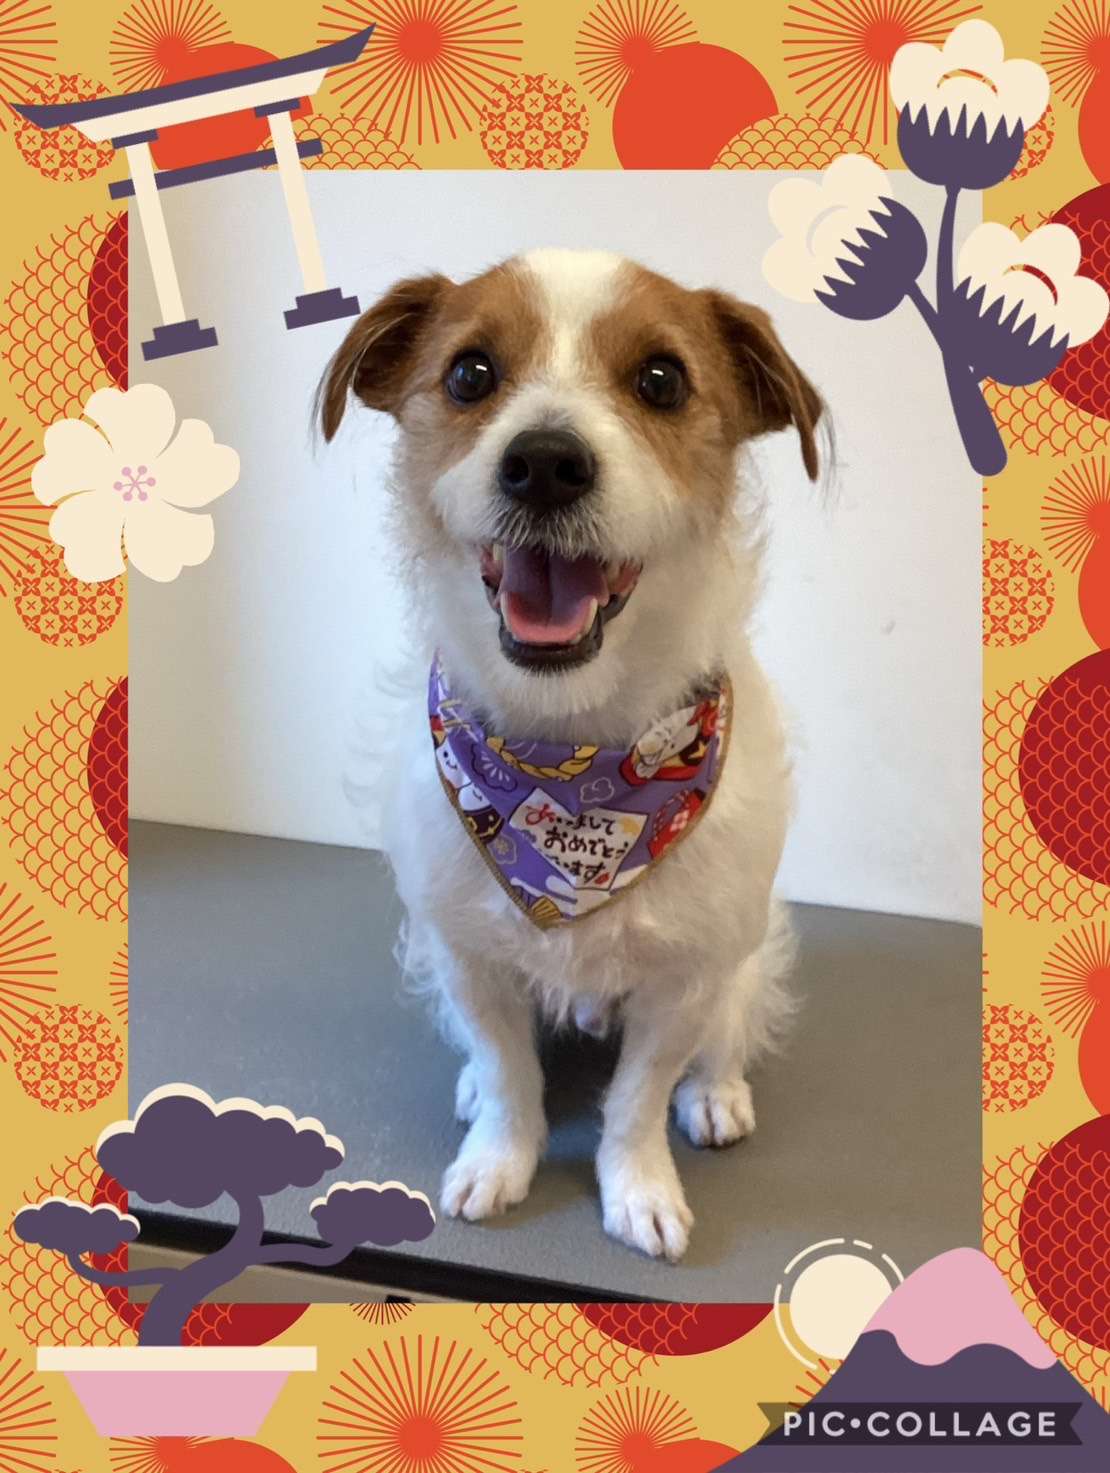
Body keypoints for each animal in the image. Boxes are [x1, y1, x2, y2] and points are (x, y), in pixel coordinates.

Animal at [319, 248, 822, 1261]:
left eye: (662, 379)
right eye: (470, 373)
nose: (545, 462)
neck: (571, 758)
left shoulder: (682, 980)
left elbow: (638, 1097)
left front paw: (639, 1189)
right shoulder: (465, 952)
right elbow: (511, 1071)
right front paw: (499, 1155)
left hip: (744, 956)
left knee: (726, 1032)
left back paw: (717, 1094)